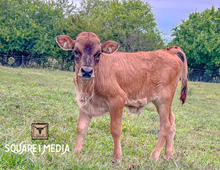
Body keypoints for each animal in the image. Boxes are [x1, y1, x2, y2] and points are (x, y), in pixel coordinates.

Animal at [55, 32, 188, 162]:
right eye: (76, 51)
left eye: (98, 53)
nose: (87, 71)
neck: (90, 87)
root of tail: (168, 51)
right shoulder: (85, 103)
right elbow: (81, 128)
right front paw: (76, 153)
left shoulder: (118, 99)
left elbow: (115, 130)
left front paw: (117, 157)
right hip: (160, 102)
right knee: (172, 122)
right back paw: (168, 155)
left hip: (164, 100)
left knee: (165, 125)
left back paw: (154, 156)